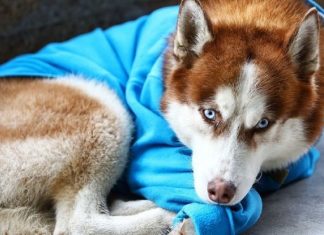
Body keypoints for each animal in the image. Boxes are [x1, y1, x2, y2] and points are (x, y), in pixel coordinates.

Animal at [0, 0, 322, 234]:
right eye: (209, 113)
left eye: (263, 123)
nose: (220, 192)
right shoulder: (153, 156)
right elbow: (249, 201)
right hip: (104, 107)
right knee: (78, 224)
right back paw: (163, 216)